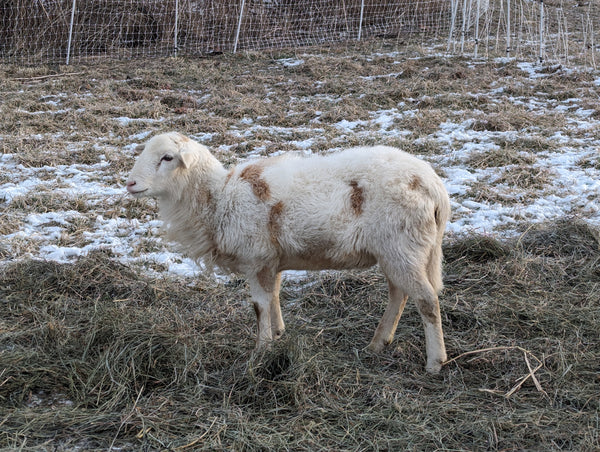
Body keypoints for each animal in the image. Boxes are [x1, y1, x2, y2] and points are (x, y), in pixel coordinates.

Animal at [127, 132, 454, 374]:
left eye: (167, 158)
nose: (130, 183)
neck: (218, 198)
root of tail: (434, 185)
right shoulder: (271, 260)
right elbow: (274, 297)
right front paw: (278, 334)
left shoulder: (256, 258)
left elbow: (259, 305)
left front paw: (260, 350)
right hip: (396, 251)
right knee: (399, 295)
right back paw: (378, 344)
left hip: (402, 245)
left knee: (426, 300)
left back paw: (435, 362)